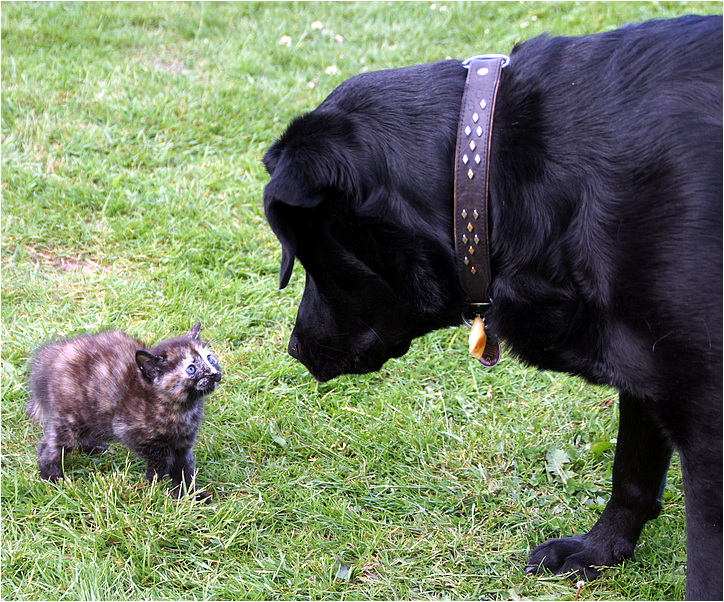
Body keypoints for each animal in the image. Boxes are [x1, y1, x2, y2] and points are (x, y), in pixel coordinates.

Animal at [27, 322, 221, 500]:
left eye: (210, 359)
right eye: (191, 369)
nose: (213, 374)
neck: (181, 409)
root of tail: (54, 355)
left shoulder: (184, 443)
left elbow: (185, 470)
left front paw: (191, 495)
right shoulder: (131, 432)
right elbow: (163, 459)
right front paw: (154, 482)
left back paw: (94, 448)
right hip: (71, 417)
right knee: (51, 445)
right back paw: (53, 479)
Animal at [264, 16, 720, 596]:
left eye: (310, 257)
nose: (295, 347)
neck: (482, 169)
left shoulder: (706, 421)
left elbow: (706, 561)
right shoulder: (645, 362)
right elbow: (632, 472)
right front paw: (600, 550)